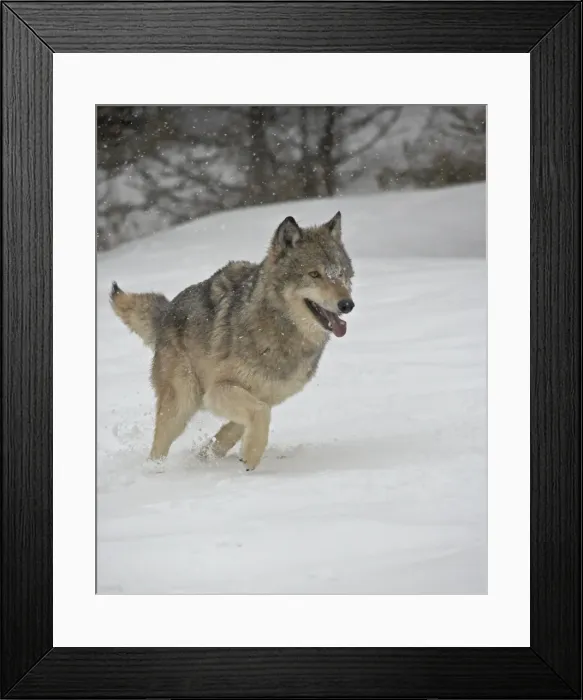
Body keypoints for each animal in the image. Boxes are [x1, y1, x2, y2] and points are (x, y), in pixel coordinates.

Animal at [110, 211, 355, 470]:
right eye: (314, 274)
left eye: (340, 273)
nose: (347, 304)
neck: (279, 331)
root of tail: (167, 311)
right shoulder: (218, 390)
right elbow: (260, 413)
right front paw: (252, 456)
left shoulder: (269, 395)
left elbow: (241, 424)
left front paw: (214, 452)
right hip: (183, 402)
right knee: (158, 447)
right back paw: (155, 470)